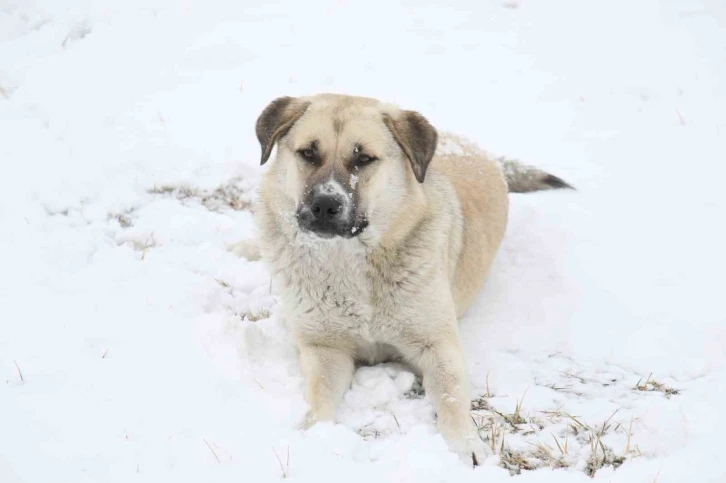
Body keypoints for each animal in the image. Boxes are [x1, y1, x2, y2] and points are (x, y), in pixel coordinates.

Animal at [233, 92, 576, 466]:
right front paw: (314, 434)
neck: (349, 264)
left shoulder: (438, 345)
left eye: (364, 158)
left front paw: (465, 443)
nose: (325, 205)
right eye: (308, 153)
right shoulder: (324, 348)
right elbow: (319, 396)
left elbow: (451, 398)